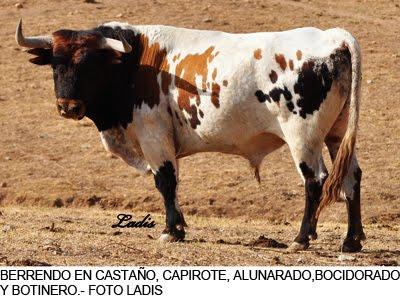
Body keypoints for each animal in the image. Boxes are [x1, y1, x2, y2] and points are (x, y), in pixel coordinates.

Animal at [16, 18, 366, 252]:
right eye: (56, 64)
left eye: (90, 64)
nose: (68, 106)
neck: (133, 64)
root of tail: (332, 37)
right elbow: (171, 184)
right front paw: (180, 225)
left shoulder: (153, 137)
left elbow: (165, 181)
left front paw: (171, 231)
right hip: (337, 136)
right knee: (351, 178)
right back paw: (351, 241)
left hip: (303, 136)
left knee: (315, 181)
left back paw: (301, 238)